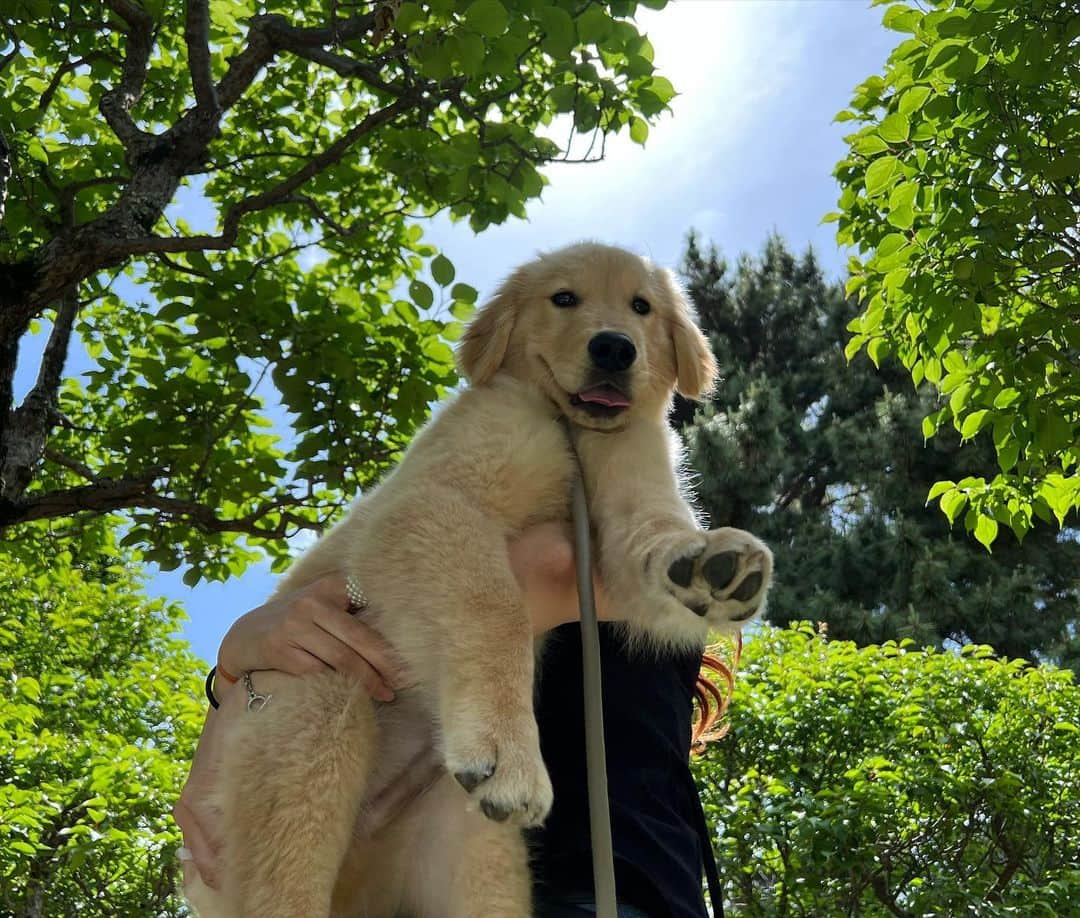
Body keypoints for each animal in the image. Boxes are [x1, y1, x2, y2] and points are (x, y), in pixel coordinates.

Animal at [187, 243, 777, 915]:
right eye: (564, 298)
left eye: (641, 307)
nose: (614, 348)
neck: (569, 430)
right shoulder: (431, 504)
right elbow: (494, 604)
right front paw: (507, 749)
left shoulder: (624, 514)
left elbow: (654, 537)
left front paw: (708, 563)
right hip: (314, 699)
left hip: (473, 848)